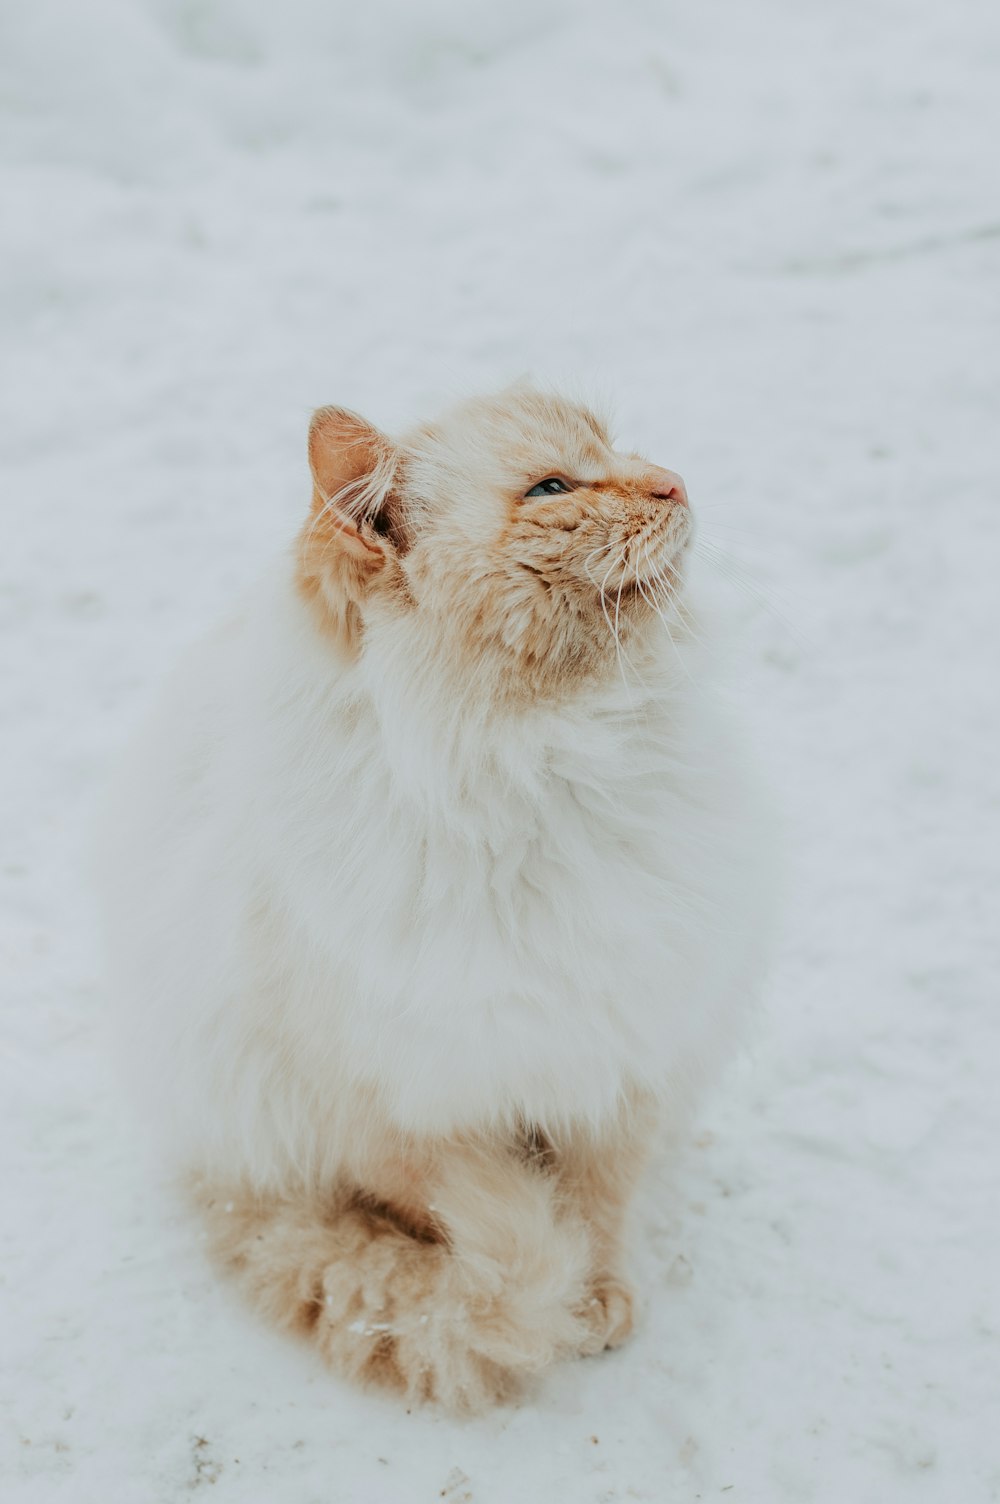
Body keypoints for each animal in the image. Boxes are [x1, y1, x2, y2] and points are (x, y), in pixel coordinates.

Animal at [97, 385, 769, 1407]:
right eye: (552, 487)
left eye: (620, 450)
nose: (674, 481)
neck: (539, 766)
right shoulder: (391, 1106)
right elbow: (467, 1210)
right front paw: (551, 1302)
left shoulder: (619, 1060)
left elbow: (596, 1206)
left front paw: (597, 1300)